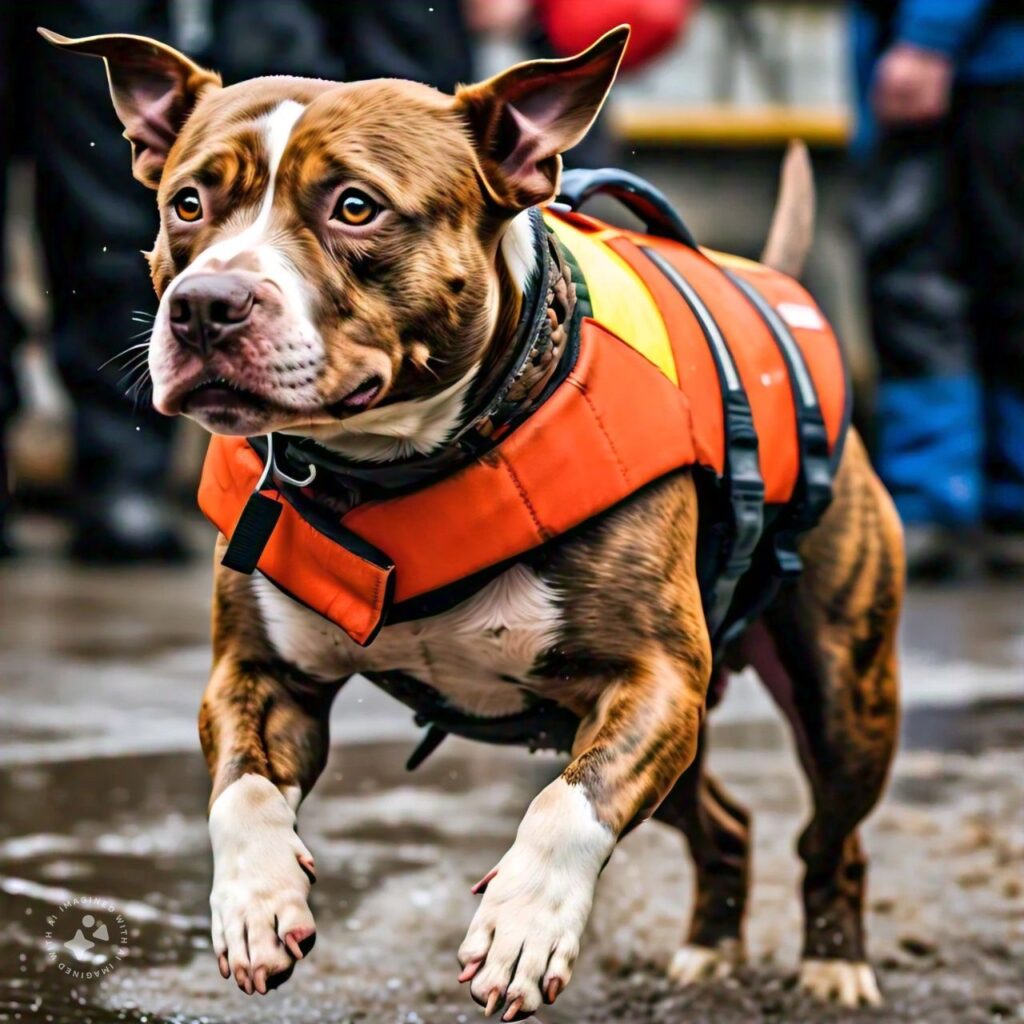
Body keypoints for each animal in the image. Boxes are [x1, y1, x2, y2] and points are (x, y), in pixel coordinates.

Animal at [44, 22, 901, 1015]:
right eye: (187, 202)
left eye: (356, 206)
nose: (207, 305)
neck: (389, 471)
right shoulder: (256, 675)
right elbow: (240, 792)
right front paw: (255, 902)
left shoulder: (654, 680)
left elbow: (567, 807)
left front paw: (523, 925)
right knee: (724, 822)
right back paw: (710, 948)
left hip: (842, 695)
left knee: (830, 836)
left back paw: (834, 963)